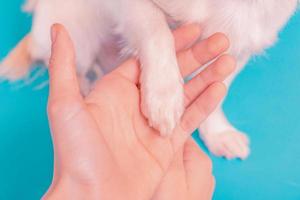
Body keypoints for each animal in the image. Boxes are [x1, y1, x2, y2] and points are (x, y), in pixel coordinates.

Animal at [0, 0, 298, 159]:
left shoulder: (237, 46)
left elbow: (217, 92)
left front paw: (218, 134)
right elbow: (157, 32)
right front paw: (164, 97)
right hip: (77, 39)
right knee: (62, 64)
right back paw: (84, 90)